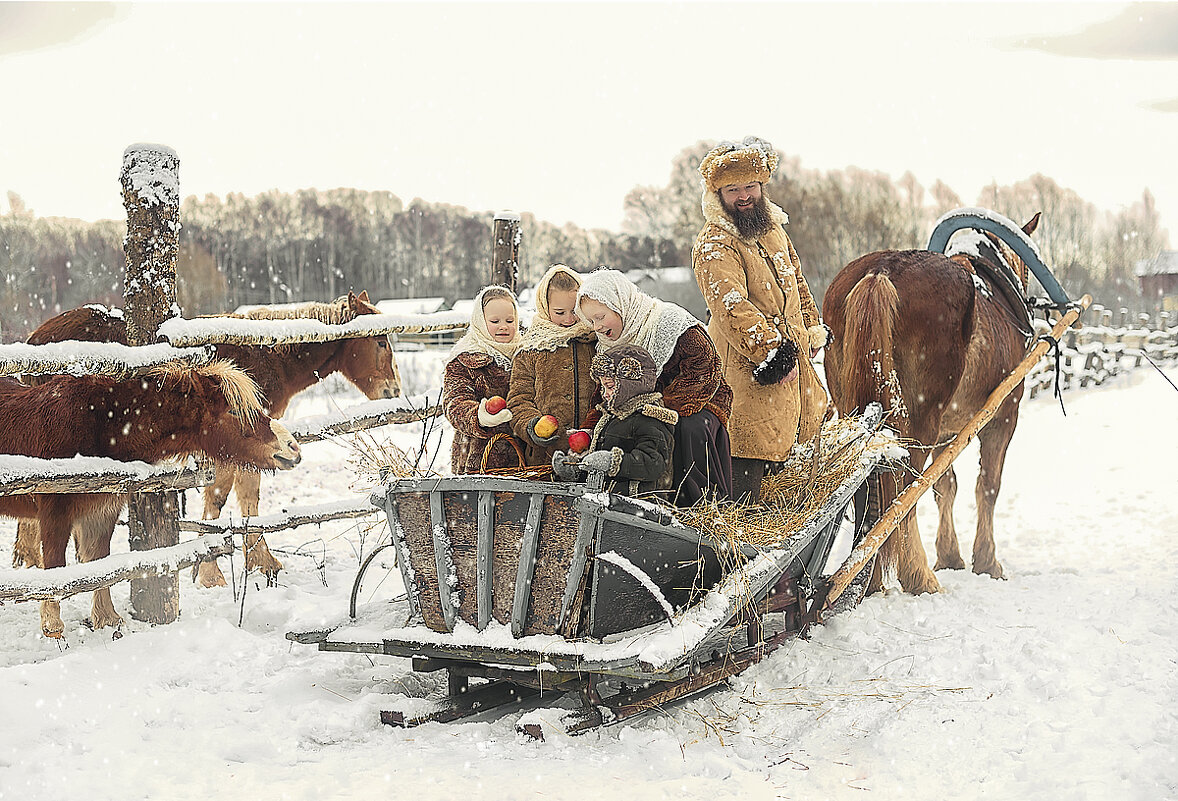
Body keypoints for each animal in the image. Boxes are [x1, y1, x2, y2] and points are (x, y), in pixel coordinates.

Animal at [2, 360, 303, 636]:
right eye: (233, 411)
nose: (293, 448)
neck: (102, 424)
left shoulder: (101, 513)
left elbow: (99, 564)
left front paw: (107, 620)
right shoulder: (55, 515)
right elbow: (55, 571)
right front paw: (53, 629)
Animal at [19, 290, 400, 584]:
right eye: (380, 341)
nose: (393, 390)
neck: (267, 356)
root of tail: (36, 340)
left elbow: (246, 499)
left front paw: (253, 562)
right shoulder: (233, 446)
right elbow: (222, 499)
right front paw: (214, 572)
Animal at [819, 213, 1041, 593]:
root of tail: (881, 271)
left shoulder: (948, 432)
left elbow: (945, 487)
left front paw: (950, 556)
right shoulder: (1003, 415)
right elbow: (988, 486)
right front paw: (987, 562)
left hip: (861, 411)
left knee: (869, 489)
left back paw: (868, 577)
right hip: (921, 421)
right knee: (903, 492)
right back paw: (918, 577)